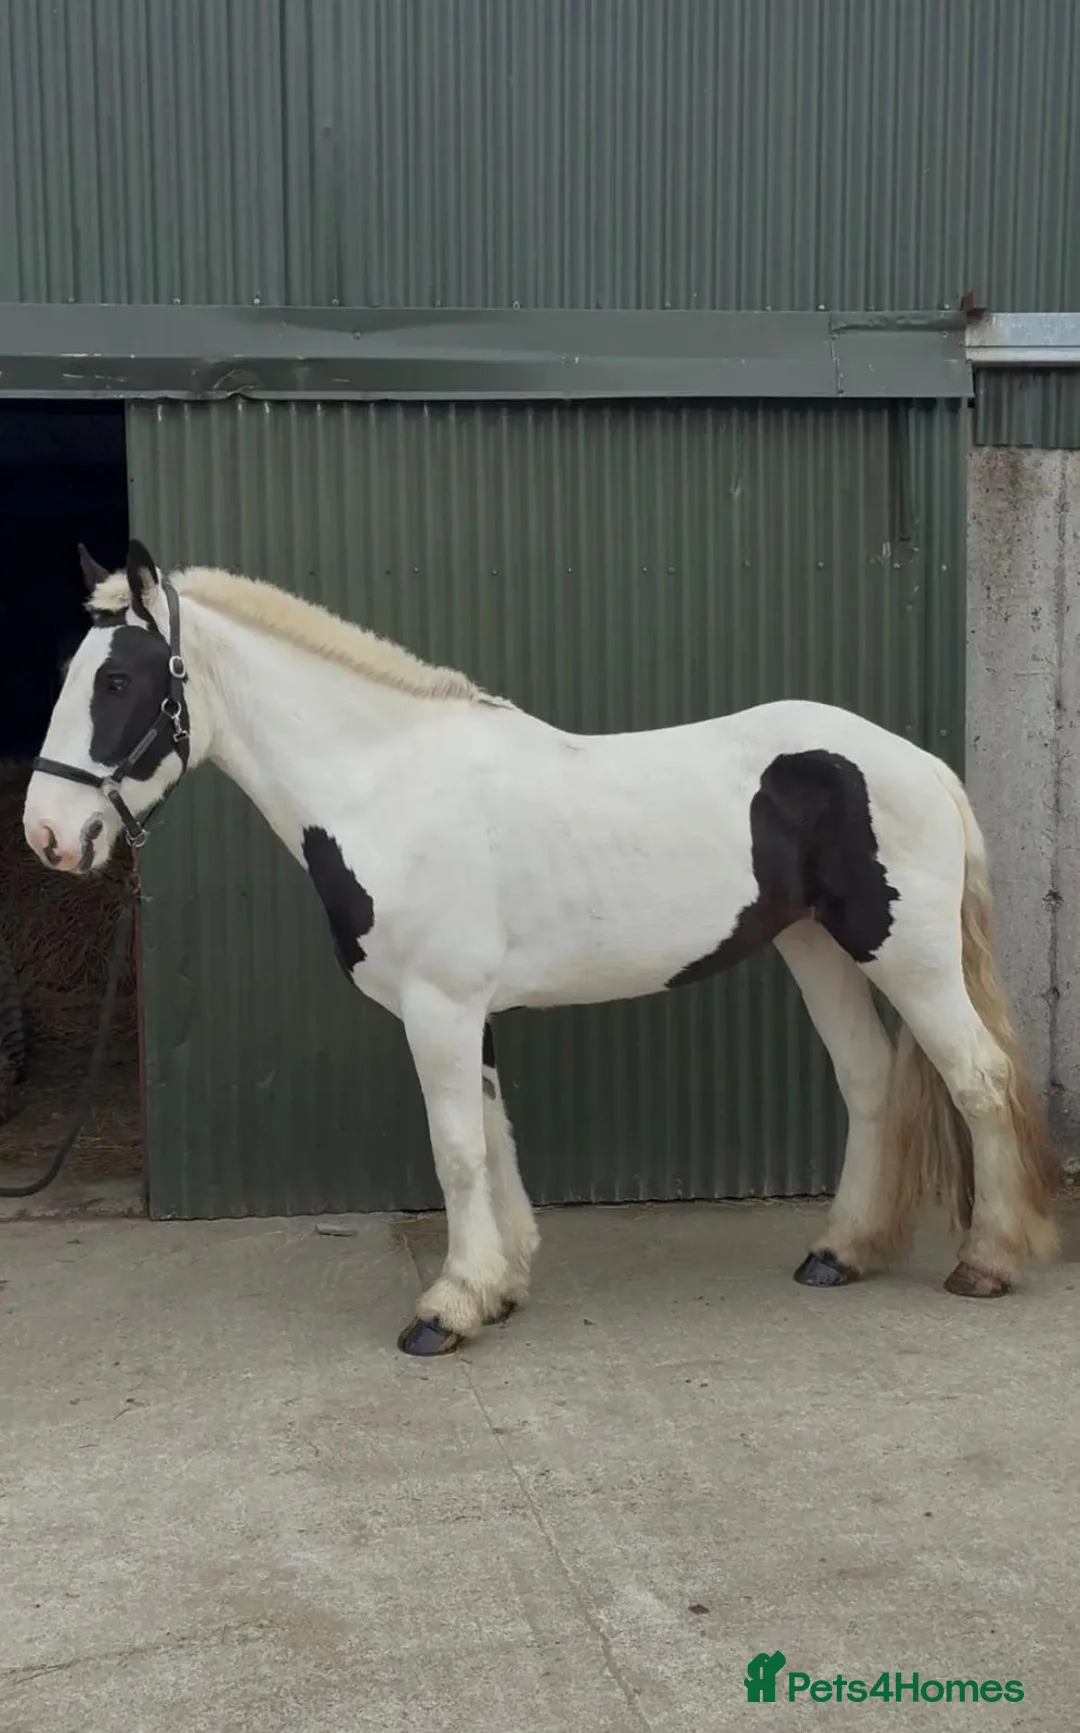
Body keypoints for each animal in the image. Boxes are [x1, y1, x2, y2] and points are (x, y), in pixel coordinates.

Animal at [24, 539, 1061, 1356]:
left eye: (118, 680)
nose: (48, 835)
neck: (388, 786)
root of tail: (919, 763)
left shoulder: (440, 1007)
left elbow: (455, 1149)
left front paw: (445, 1309)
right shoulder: (464, 1011)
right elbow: (492, 1136)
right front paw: (500, 1284)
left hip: (907, 956)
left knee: (978, 1079)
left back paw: (986, 1261)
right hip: (817, 948)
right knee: (872, 1083)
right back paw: (839, 1252)